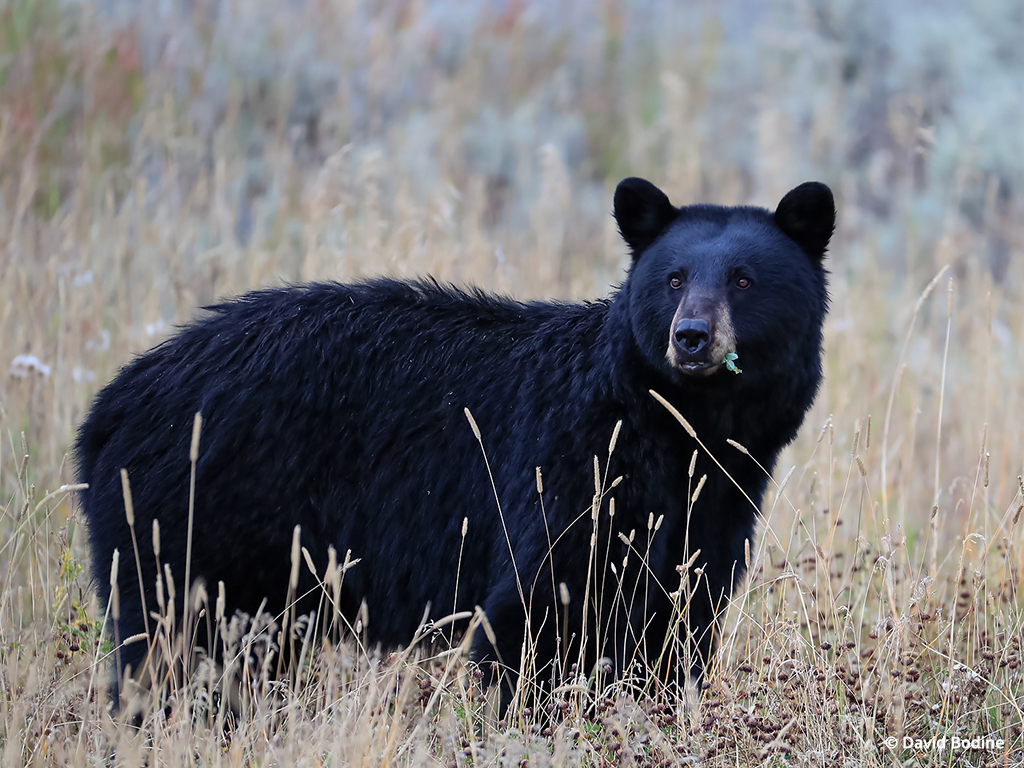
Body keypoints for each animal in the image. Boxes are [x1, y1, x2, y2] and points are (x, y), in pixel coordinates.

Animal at [77, 177, 831, 712]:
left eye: (743, 279)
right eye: (673, 279)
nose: (692, 337)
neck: (673, 428)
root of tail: (110, 406)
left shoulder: (714, 503)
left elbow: (676, 617)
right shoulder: (566, 469)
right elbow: (537, 611)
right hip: (199, 516)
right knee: (174, 643)